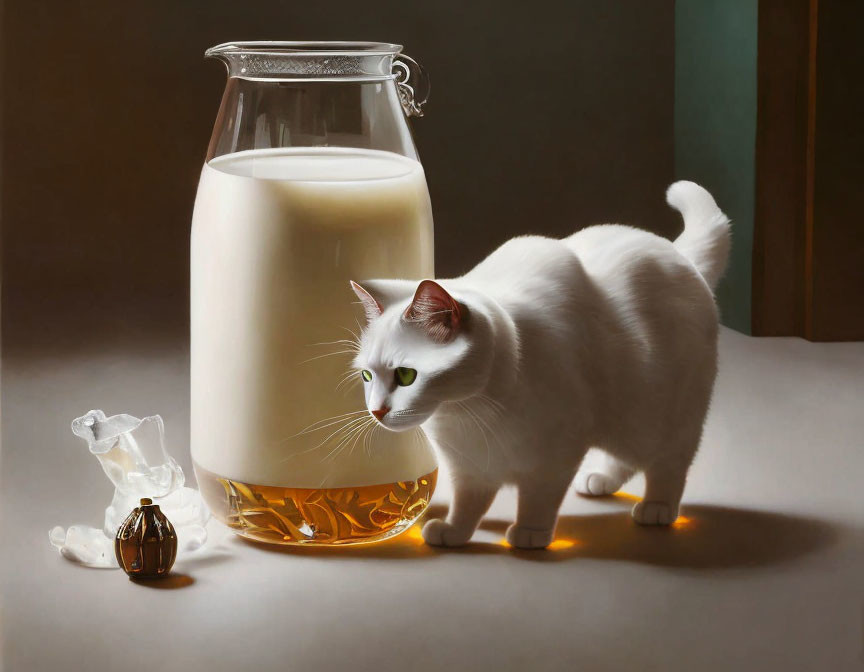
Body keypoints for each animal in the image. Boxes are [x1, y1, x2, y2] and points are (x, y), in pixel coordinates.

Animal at [350, 181, 728, 548]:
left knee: (668, 464)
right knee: (627, 460)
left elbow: (538, 499)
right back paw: (601, 479)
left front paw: (530, 534)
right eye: (368, 375)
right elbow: (468, 503)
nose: (376, 411)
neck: (469, 414)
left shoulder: (555, 455)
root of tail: (679, 255)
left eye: (406, 375)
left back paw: (657, 507)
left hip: (658, 418)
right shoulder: (470, 466)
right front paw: (455, 532)